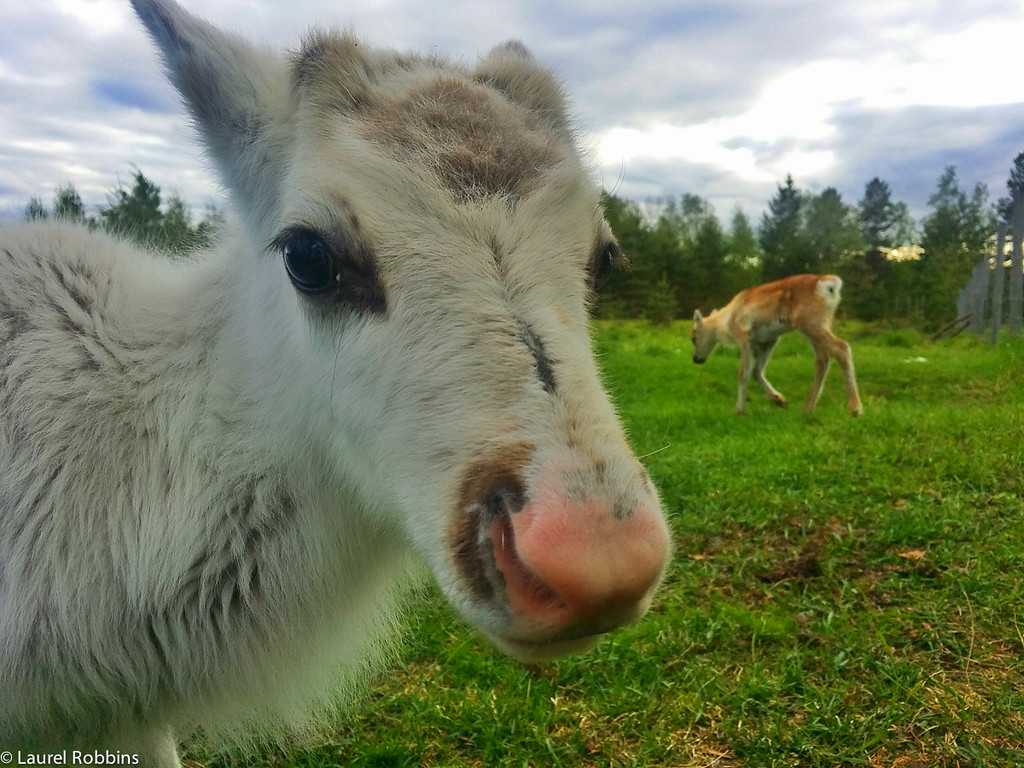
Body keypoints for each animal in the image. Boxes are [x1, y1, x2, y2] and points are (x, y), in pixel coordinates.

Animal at [688, 274, 864, 417]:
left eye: (693, 338)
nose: (696, 359)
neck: (726, 322)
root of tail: (830, 284)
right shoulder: (768, 340)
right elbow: (756, 371)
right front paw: (779, 400)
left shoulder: (745, 337)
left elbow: (743, 373)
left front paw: (739, 410)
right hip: (816, 325)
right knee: (822, 358)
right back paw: (807, 407)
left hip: (811, 323)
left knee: (841, 348)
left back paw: (855, 409)